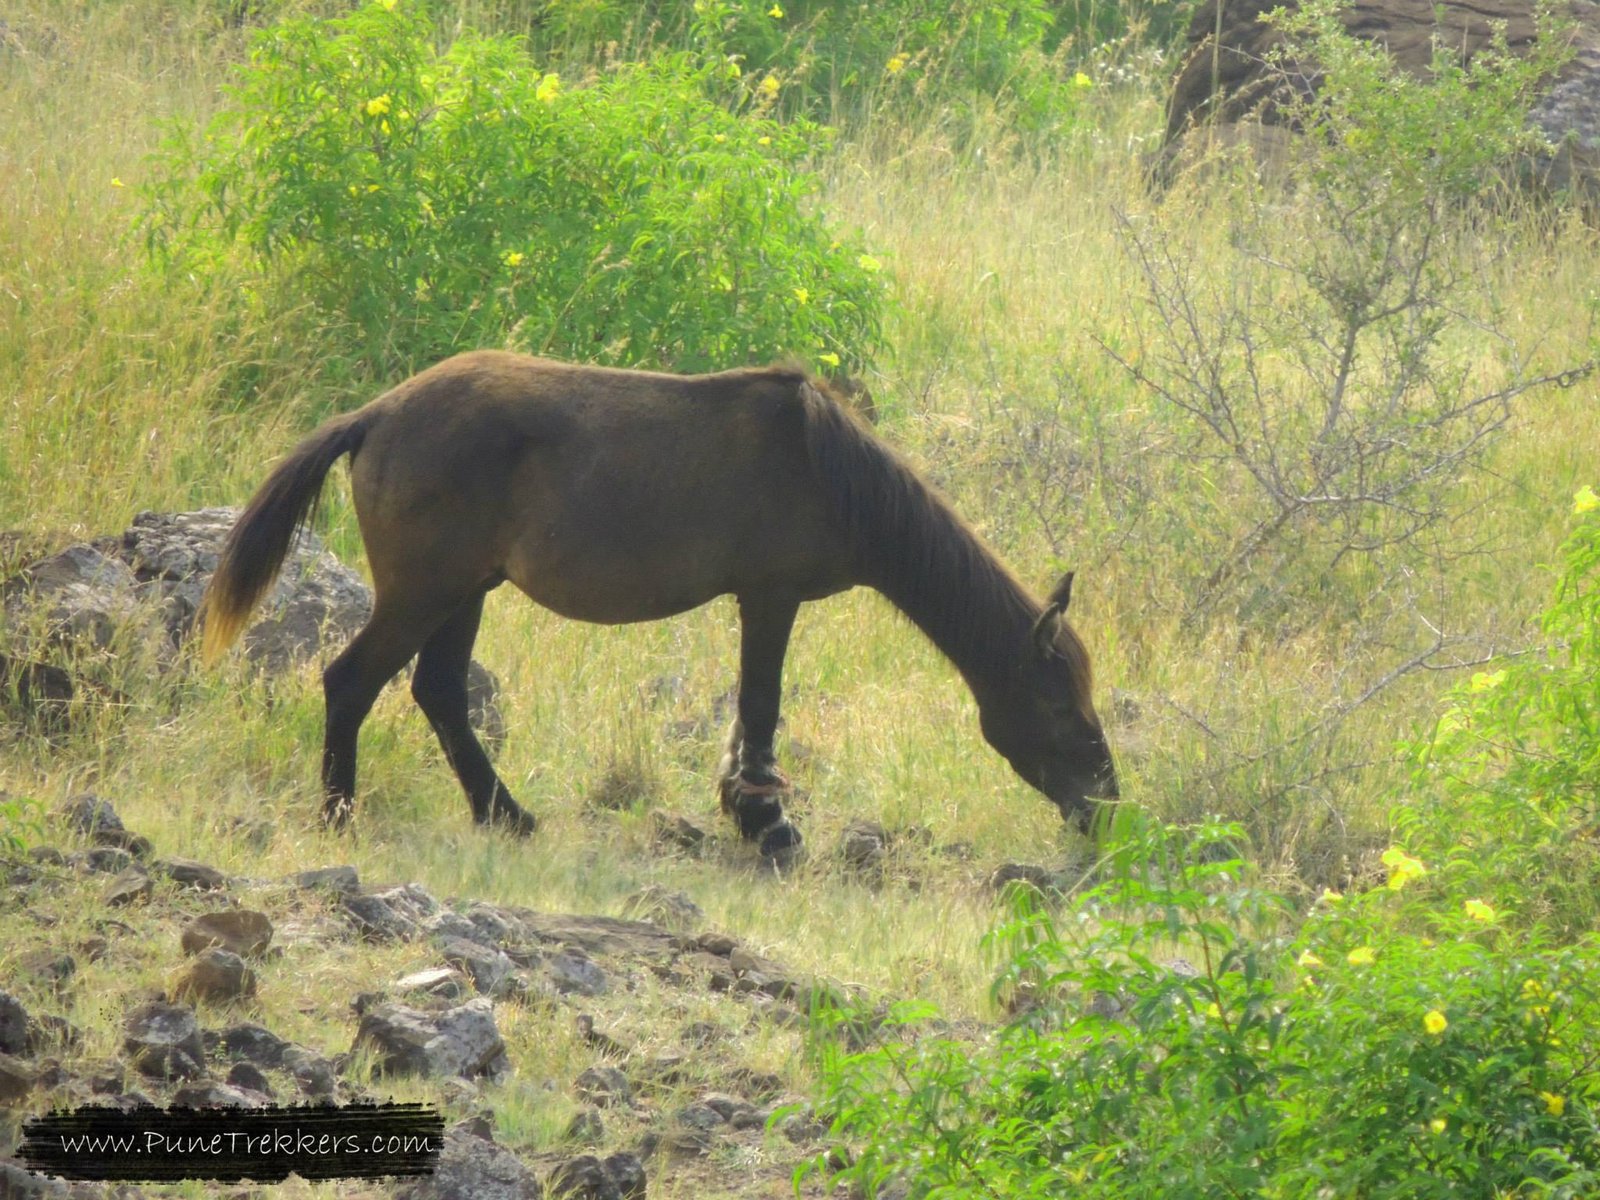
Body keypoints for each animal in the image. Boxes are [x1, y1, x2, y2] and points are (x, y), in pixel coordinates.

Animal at [199, 351, 1119, 857]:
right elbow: (760, 707)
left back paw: (508, 818)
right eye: (1060, 709)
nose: (1105, 809)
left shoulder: (761, 600)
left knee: (440, 693)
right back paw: (340, 817)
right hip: (425, 591)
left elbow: (747, 714)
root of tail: (378, 413)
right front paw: (767, 823)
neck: (827, 472)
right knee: (351, 682)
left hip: (464, 592)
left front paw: (745, 808)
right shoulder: (771, 595)